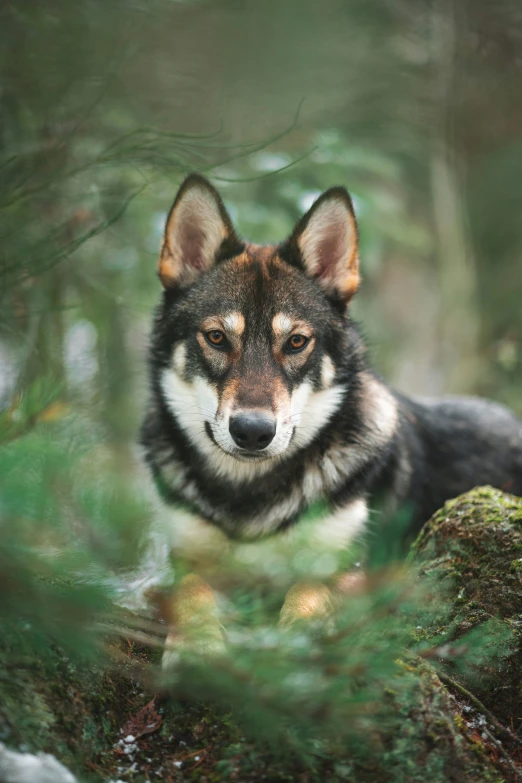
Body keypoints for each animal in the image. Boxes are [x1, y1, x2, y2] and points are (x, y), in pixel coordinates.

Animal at [140, 176, 520, 648]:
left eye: (296, 342)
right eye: (215, 337)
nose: (252, 432)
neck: (249, 499)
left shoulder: (350, 570)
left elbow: (307, 598)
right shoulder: (187, 561)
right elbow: (193, 596)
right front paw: (199, 649)